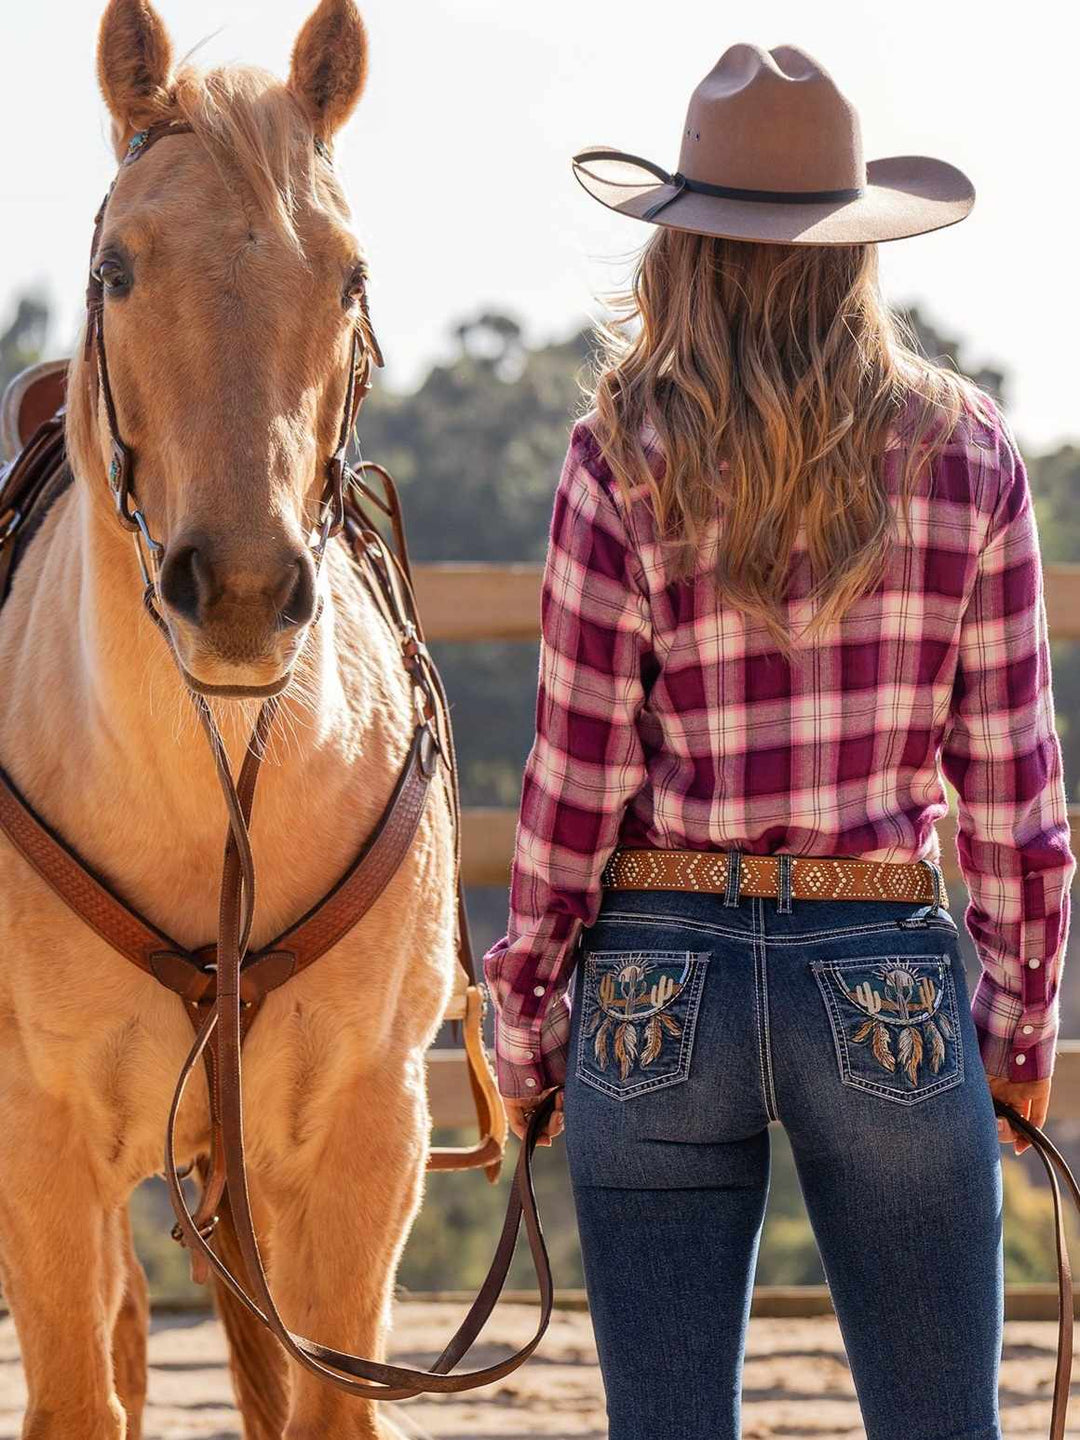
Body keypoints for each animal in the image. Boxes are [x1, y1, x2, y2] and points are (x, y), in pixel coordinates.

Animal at [0, 2, 460, 1440]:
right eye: (119, 270)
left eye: (350, 277)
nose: (246, 595)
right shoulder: (41, 1140)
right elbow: (79, 1395)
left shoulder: (369, 1136)